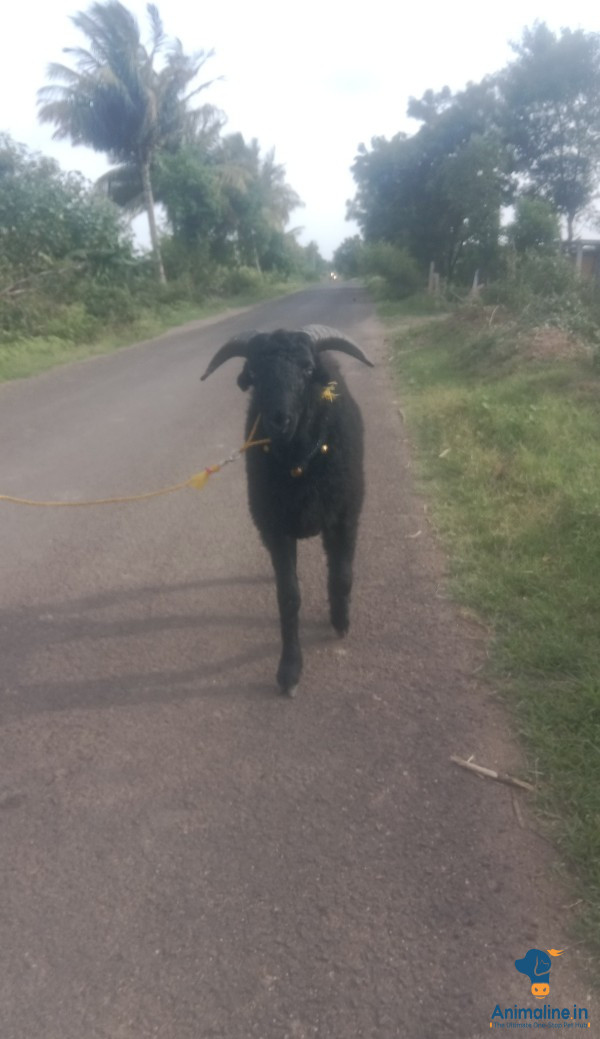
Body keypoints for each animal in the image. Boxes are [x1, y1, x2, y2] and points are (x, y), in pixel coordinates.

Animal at [200, 325, 373, 696]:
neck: (299, 462)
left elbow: (342, 575)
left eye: (307, 369)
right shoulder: (275, 529)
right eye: (255, 373)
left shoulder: (345, 516)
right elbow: (289, 596)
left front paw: (341, 620)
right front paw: (290, 670)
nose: (279, 419)